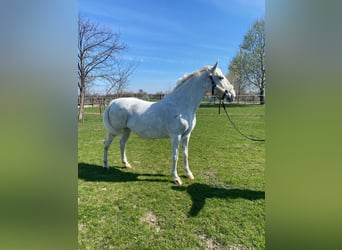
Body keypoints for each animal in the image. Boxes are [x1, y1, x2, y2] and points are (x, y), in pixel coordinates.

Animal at [102, 61, 235, 185]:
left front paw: (189, 174)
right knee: (107, 144)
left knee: (122, 144)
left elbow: (185, 154)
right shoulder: (176, 136)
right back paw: (105, 166)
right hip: (114, 131)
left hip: (127, 130)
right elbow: (175, 156)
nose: (232, 95)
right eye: (220, 77)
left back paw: (126, 164)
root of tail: (112, 102)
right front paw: (176, 178)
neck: (181, 105)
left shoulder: (186, 135)